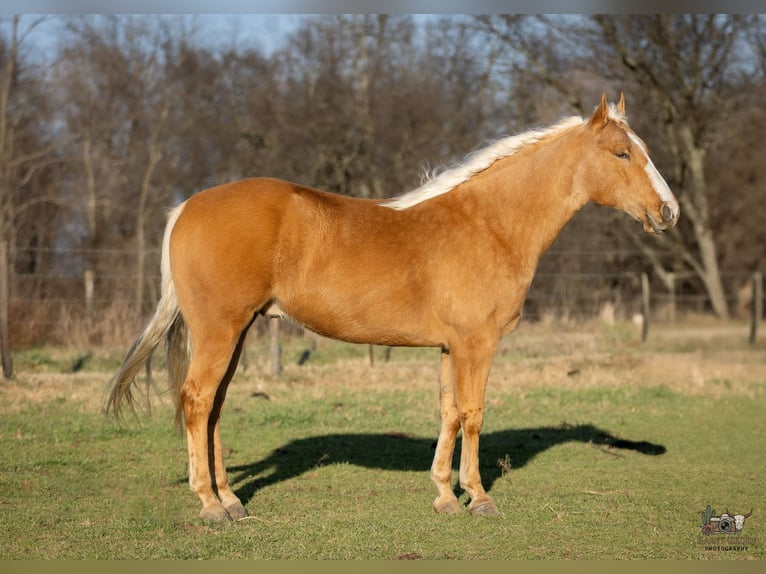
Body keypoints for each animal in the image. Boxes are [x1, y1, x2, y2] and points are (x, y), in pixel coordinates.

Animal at [107, 93, 679, 521]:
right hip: (220, 329)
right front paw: (479, 498)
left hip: (237, 330)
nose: (668, 211)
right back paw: (209, 505)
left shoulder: (451, 347)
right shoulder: (477, 343)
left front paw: (445, 495)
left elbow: (449, 412)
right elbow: (473, 414)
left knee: (214, 406)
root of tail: (187, 206)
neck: (489, 223)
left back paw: (230, 500)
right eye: (622, 154)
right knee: (197, 400)